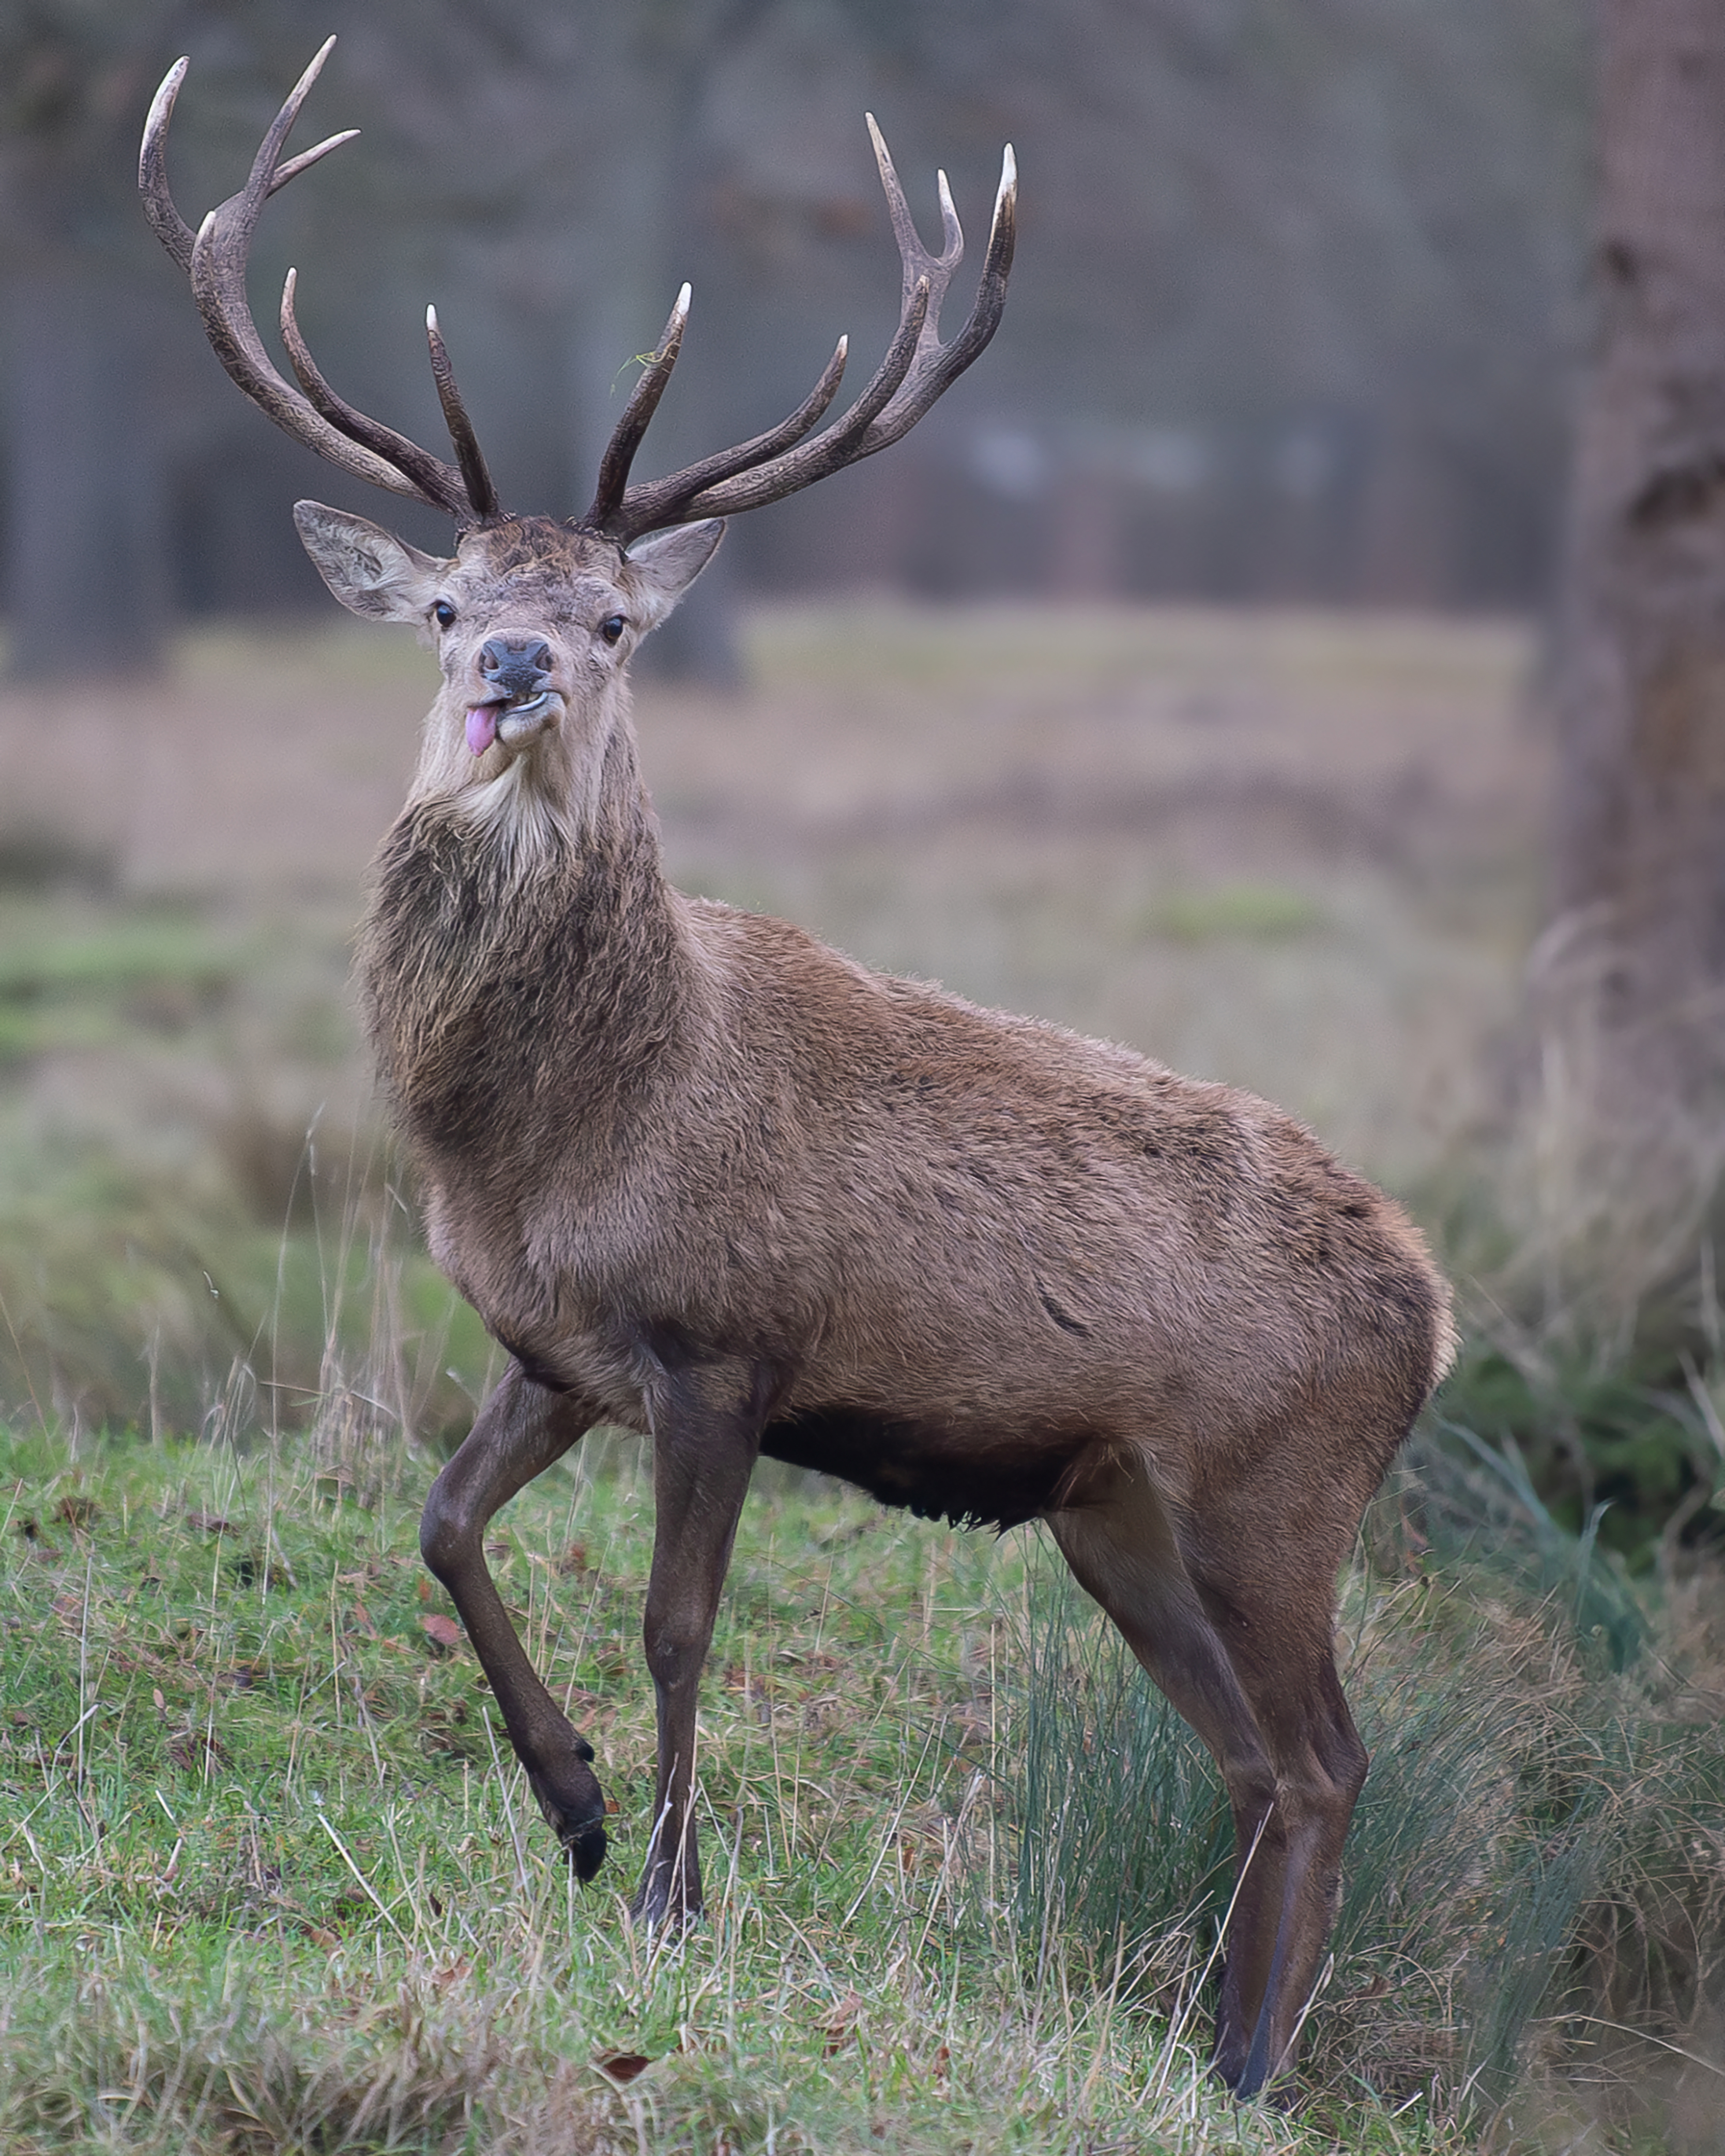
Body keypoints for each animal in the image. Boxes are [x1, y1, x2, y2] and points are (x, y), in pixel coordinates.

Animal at [142, 41, 1453, 2100]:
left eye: (610, 619)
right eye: (444, 601)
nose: (514, 667)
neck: (553, 1133)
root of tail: (1439, 1304)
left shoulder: (728, 1346)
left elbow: (680, 1621)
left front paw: (673, 1903)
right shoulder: (558, 1344)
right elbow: (439, 1521)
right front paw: (575, 1805)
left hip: (1276, 1482)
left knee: (1327, 1754)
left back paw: (1253, 2064)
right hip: (1110, 1506)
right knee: (1250, 1757)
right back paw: (1201, 2045)